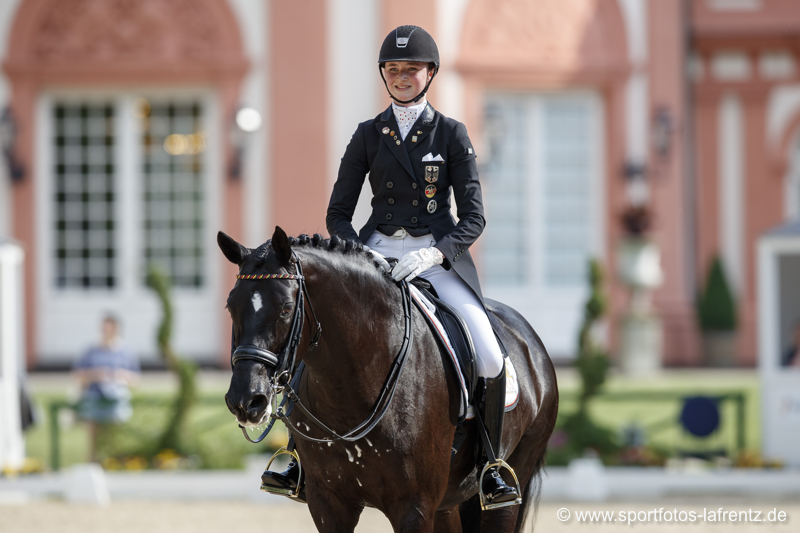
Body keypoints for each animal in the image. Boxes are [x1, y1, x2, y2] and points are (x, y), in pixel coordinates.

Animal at [219, 227, 556, 528]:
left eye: (287, 308)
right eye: (230, 305)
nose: (246, 401)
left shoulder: (414, 507)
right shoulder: (328, 503)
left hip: (509, 486)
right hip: (447, 503)